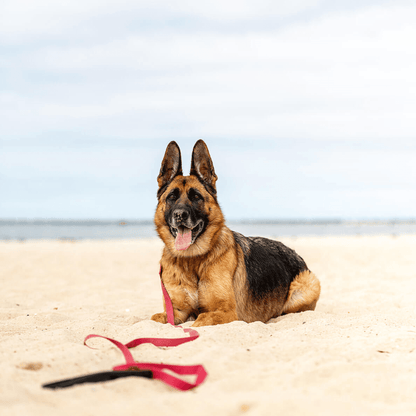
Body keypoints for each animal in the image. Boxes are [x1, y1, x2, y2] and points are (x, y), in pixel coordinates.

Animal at [151, 141, 320, 326]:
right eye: (171, 197)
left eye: (196, 197)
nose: (180, 215)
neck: (192, 260)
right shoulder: (176, 311)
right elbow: (156, 318)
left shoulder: (226, 312)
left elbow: (200, 321)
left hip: (307, 285)